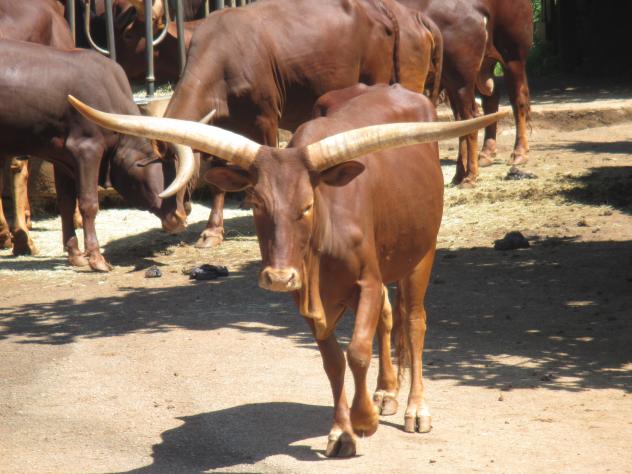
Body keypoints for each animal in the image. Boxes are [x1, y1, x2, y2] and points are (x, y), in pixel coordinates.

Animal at [69, 86, 504, 456]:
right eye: (256, 202)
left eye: (307, 204)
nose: (278, 278)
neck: (324, 237)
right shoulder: (309, 297)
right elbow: (334, 362)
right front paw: (342, 432)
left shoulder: (366, 280)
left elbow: (357, 351)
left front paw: (364, 421)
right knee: (387, 315)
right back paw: (386, 393)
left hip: (421, 254)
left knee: (413, 321)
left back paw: (415, 409)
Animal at [165, 0, 442, 248]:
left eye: (176, 164)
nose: (172, 218)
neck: (224, 57)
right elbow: (217, 179)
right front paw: (212, 231)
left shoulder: (266, 119)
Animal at [400, 0, 532, 186]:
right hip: (473, 71)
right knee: (489, 99)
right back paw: (484, 155)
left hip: (512, 55)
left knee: (517, 99)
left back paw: (518, 153)